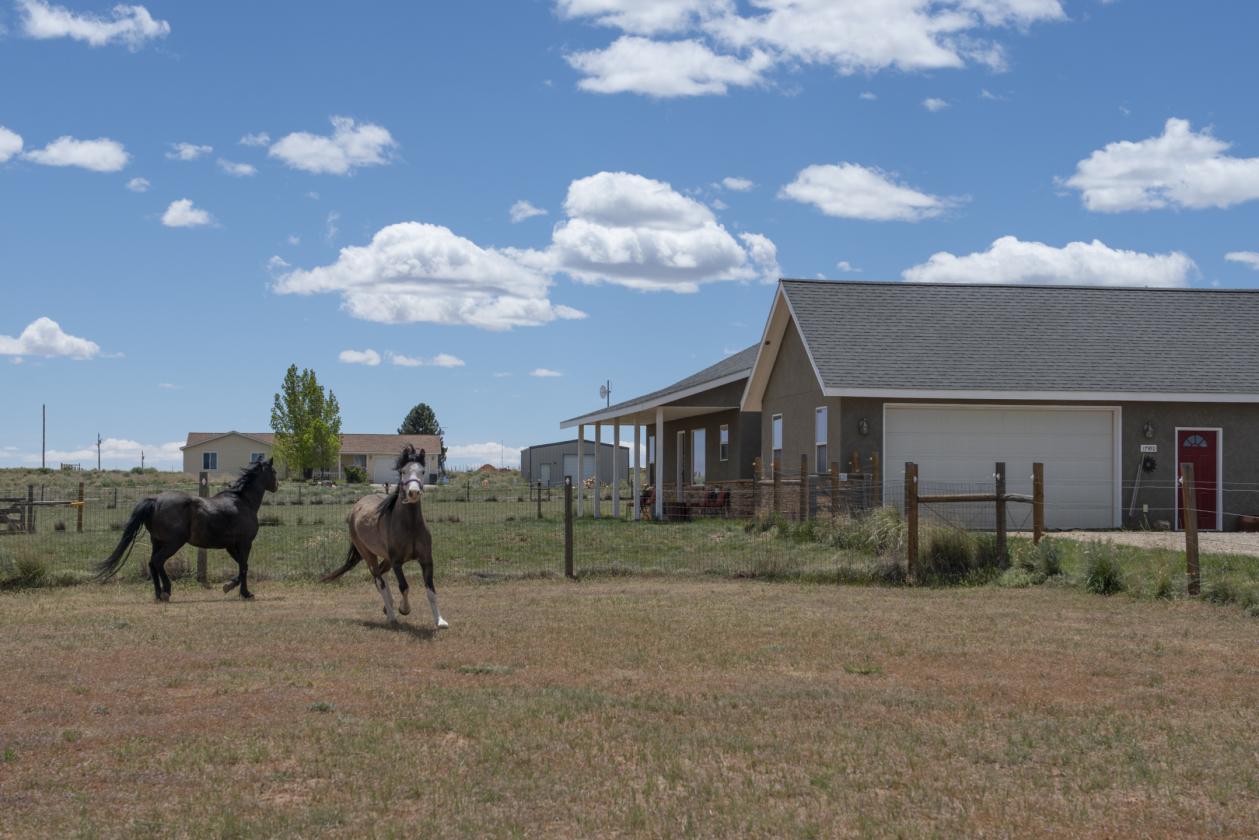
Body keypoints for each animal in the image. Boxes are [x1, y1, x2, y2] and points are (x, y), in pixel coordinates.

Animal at [96, 458, 279, 601]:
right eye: (274, 471)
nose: (277, 486)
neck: (242, 502)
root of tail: (155, 500)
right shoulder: (245, 543)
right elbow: (243, 567)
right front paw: (243, 592)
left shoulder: (231, 546)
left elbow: (243, 565)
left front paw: (232, 587)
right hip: (174, 542)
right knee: (158, 561)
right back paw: (166, 591)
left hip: (157, 541)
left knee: (152, 563)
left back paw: (159, 594)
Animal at [321, 444, 448, 628]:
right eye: (403, 471)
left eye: (422, 471)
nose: (413, 492)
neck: (410, 526)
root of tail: (356, 507)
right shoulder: (397, 562)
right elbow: (404, 587)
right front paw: (404, 609)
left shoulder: (426, 561)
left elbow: (431, 590)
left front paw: (440, 621)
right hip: (368, 555)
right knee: (378, 580)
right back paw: (392, 615)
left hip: (385, 558)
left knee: (382, 574)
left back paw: (388, 608)